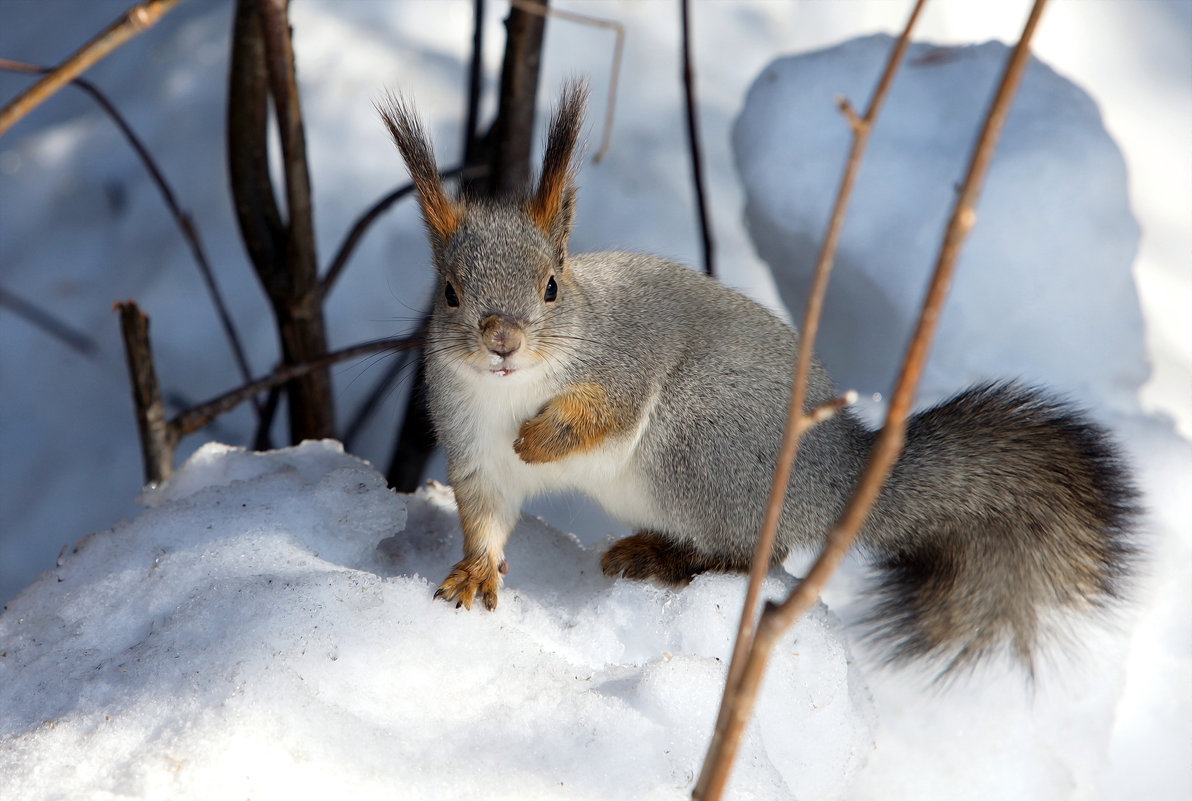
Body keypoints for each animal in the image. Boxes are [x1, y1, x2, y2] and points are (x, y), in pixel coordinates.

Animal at [376, 82, 1139, 677]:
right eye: (449, 293)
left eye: (552, 286)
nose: (501, 340)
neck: (510, 390)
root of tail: (837, 472)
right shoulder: (472, 446)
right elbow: (486, 519)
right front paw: (474, 574)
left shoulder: (626, 356)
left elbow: (606, 408)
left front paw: (543, 437)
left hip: (700, 444)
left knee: (759, 556)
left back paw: (668, 559)